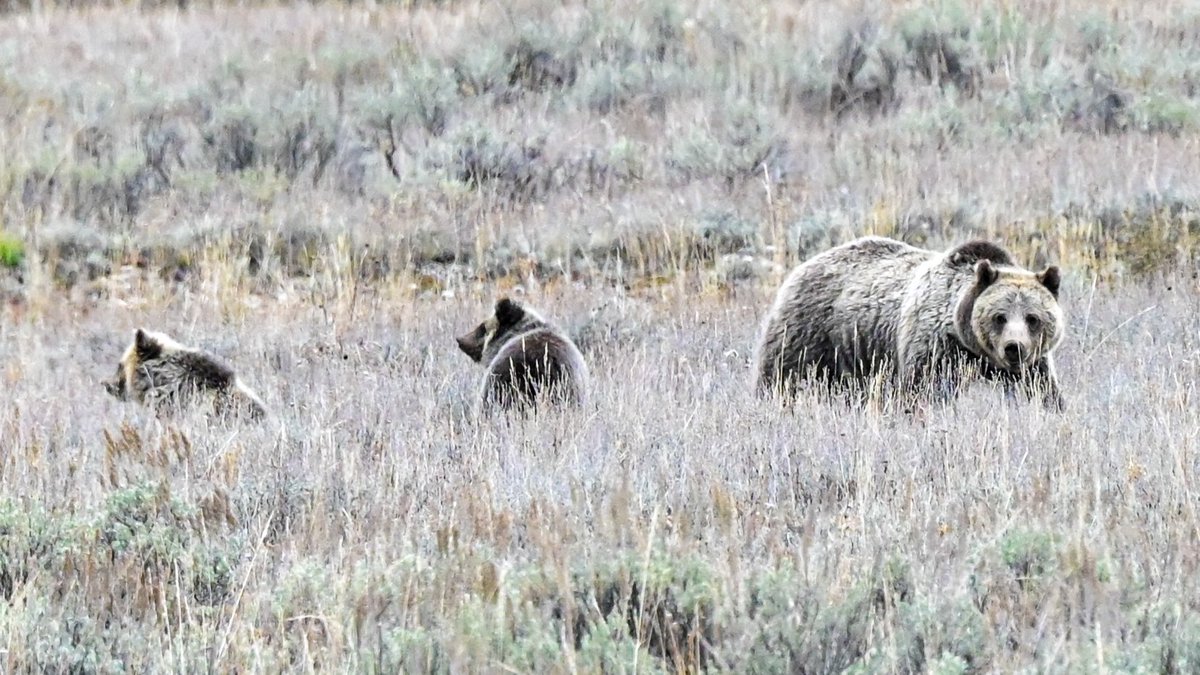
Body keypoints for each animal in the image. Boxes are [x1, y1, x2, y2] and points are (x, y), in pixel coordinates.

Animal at [753, 234, 1065, 408]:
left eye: (1033, 318)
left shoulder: (1031, 366)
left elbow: (1041, 390)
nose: (1014, 348)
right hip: (809, 335)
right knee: (782, 376)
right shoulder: (936, 345)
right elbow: (923, 390)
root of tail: (803, 265)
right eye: (999, 317)